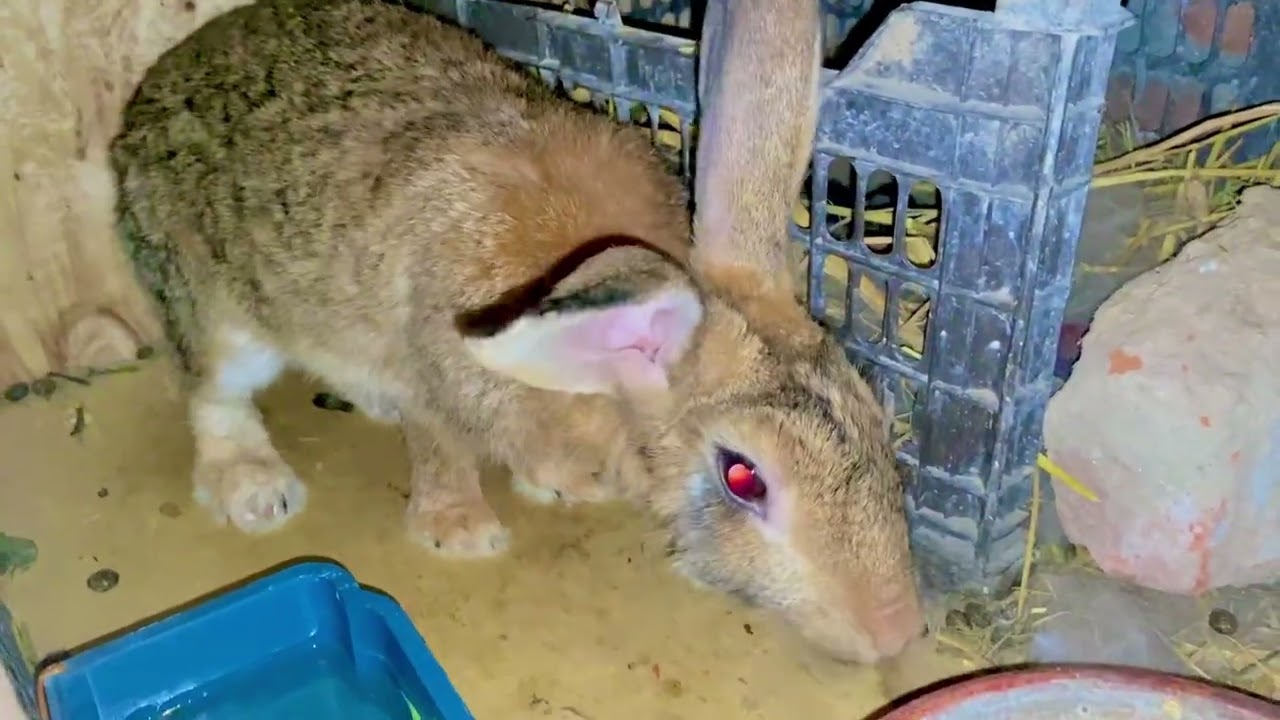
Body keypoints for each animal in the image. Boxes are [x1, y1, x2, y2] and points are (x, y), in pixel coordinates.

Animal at [110, 0, 923, 663]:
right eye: (743, 477)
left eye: (877, 419)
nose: (893, 632)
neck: (600, 379)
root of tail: (146, 100)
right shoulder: (434, 377)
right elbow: (440, 446)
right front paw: (461, 531)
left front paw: (560, 483)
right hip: (219, 318)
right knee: (210, 394)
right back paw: (256, 489)